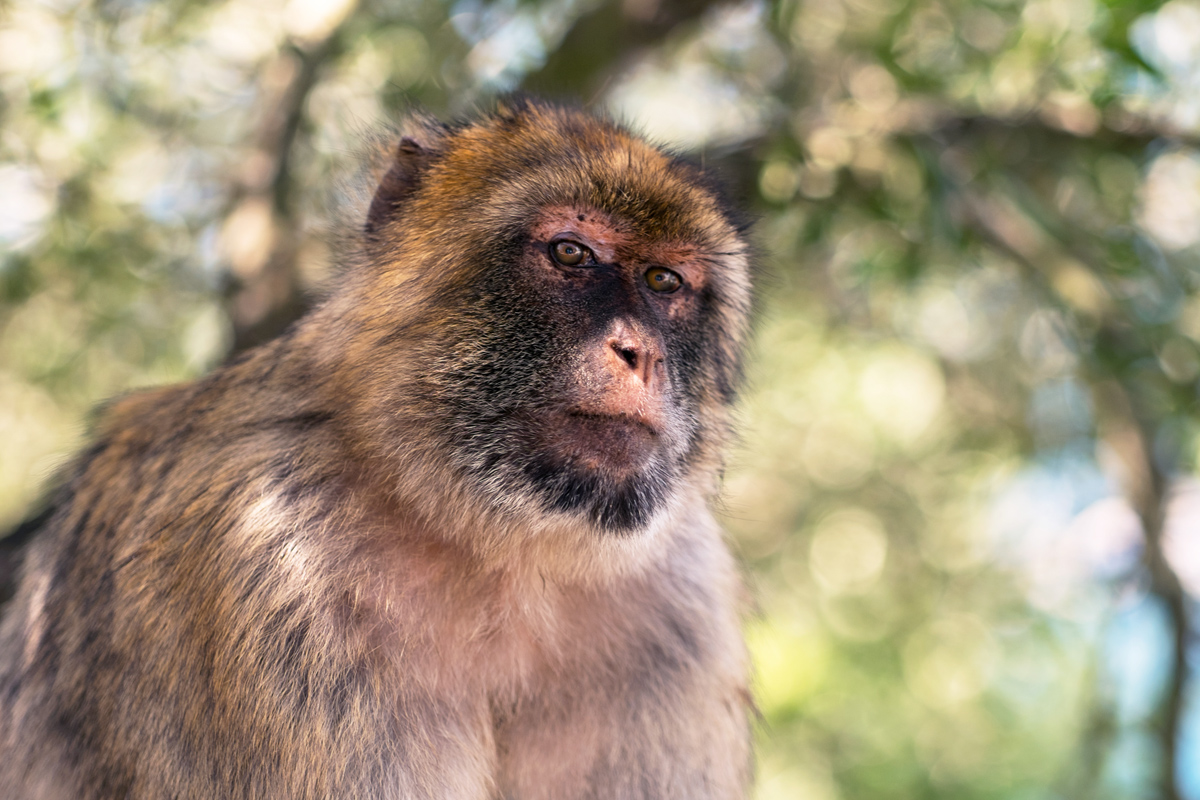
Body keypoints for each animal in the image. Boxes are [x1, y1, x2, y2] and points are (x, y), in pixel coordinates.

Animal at [0, 98, 755, 800]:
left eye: (664, 282)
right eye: (572, 253)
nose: (640, 352)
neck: (499, 550)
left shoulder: (680, 615)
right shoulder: (269, 566)